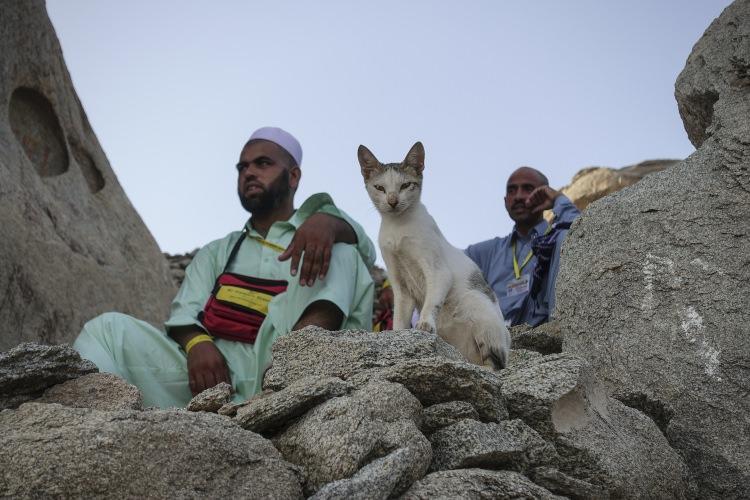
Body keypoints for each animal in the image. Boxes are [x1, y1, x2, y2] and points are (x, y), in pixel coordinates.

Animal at [358, 141, 512, 368]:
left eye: (405, 185)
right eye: (380, 188)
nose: (393, 201)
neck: (397, 229)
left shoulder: (438, 271)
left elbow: (431, 302)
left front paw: (425, 324)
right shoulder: (400, 285)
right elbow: (399, 318)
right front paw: (398, 336)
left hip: (477, 304)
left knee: (494, 363)